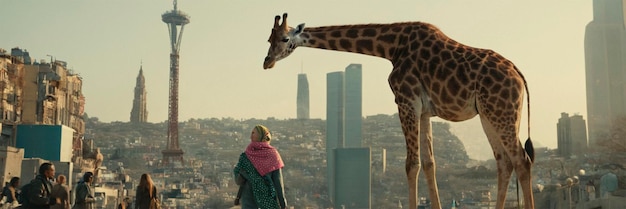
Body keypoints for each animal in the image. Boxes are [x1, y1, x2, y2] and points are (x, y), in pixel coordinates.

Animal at [260, 13, 532, 209]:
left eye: (284, 39)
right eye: (269, 39)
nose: (267, 62)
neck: (390, 46)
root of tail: (520, 75)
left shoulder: (405, 100)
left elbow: (412, 164)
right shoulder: (423, 110)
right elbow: (430, 163)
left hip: (501, 112)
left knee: (522, 159)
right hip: (491, 115)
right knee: (504, 162)